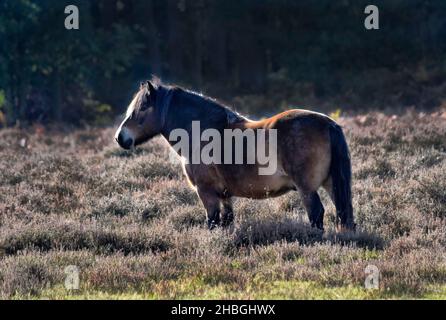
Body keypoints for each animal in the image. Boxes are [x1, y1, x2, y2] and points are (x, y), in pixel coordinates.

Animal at [115, 77, 356, 232]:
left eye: (142, 108)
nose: (120, 137)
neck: (203, 131)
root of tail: (329, 124)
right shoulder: (225, 195)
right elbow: (227, 221)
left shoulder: (206, 192)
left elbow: (212, 222)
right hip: (332, 184)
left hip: (307, 189)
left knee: (316, 214)